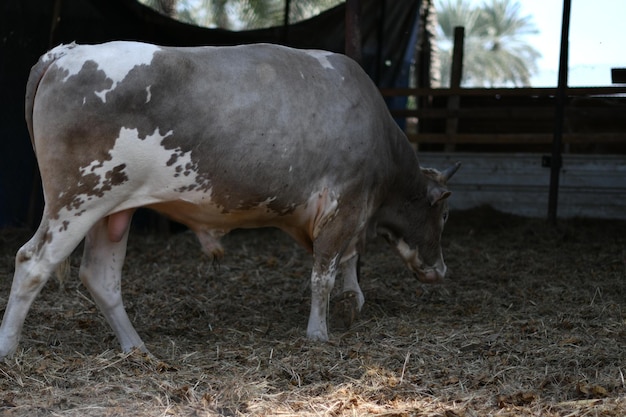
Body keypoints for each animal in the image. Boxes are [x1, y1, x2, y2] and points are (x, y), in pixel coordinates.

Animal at [0, 40, 458, 356]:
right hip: (76, 199)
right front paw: (318, 333)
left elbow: (346, 260)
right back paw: (8, 348)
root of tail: (69, 51)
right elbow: (323, 273)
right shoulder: (343, 203)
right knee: (32, 262)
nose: (441, 270)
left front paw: (352, 301)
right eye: (444, 216)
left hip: (112, 208)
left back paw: (137, 348)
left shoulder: (346, 211)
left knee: (100, 276)